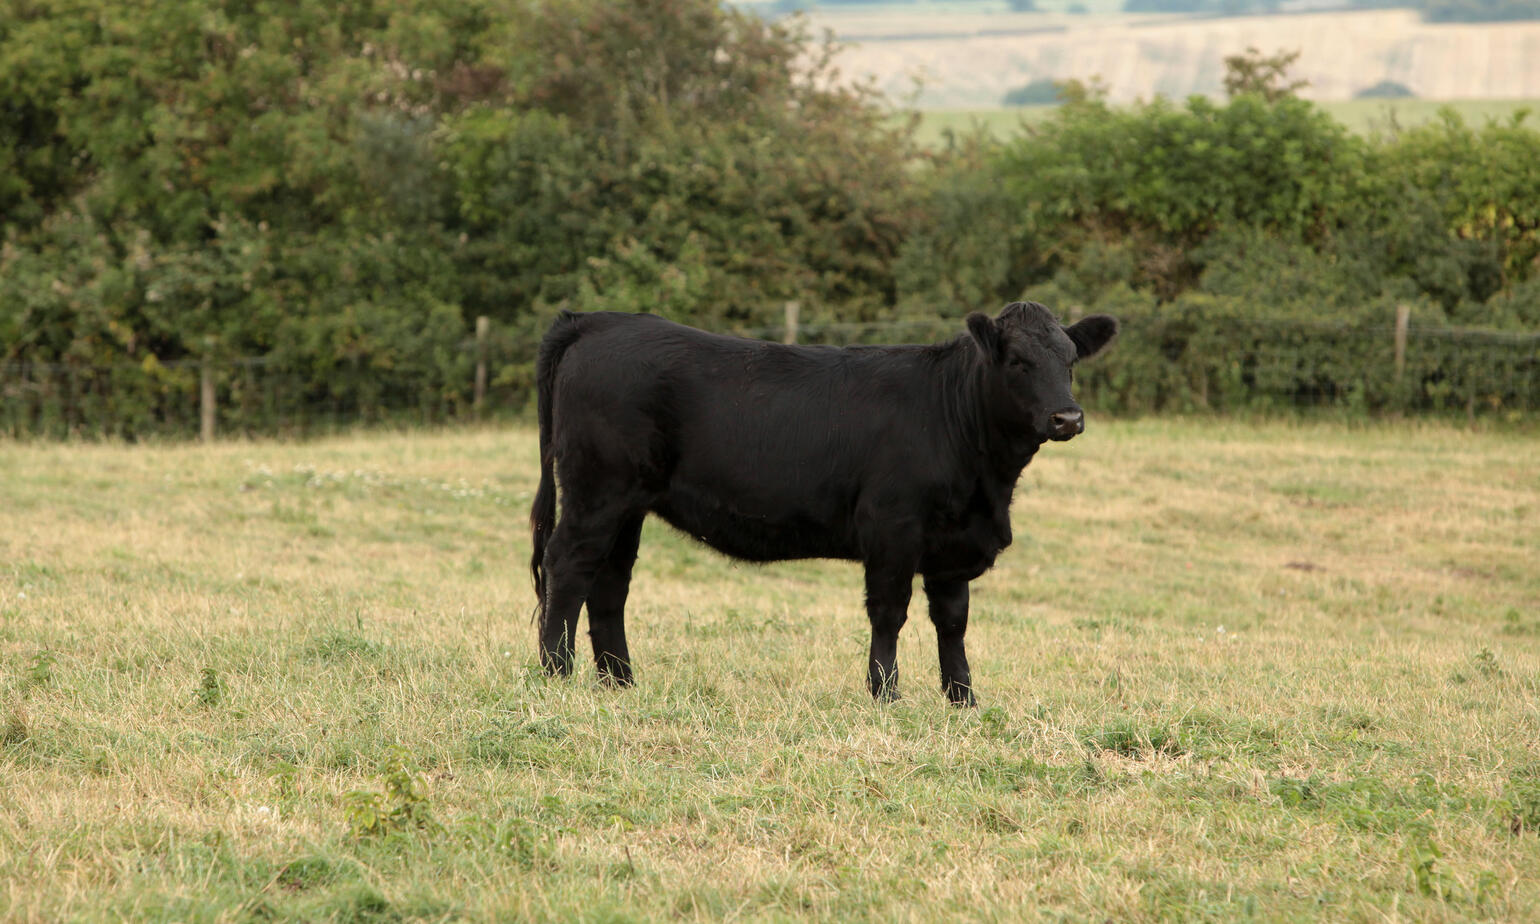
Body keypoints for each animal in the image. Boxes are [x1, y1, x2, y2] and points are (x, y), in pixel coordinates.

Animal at [528, 301, 1117, 705]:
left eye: (1070, 360)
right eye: (1017, 361)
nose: (1068, 417)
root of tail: (598, 321)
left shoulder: (953, 544)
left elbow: (952, 621)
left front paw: (963, 699)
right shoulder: (892, 527)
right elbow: (889, 613)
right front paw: (885, 693)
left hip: (627, 504)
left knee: (610, 582)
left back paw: (620, 682)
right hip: (596, 491)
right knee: (569, 566)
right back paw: (557, 673)